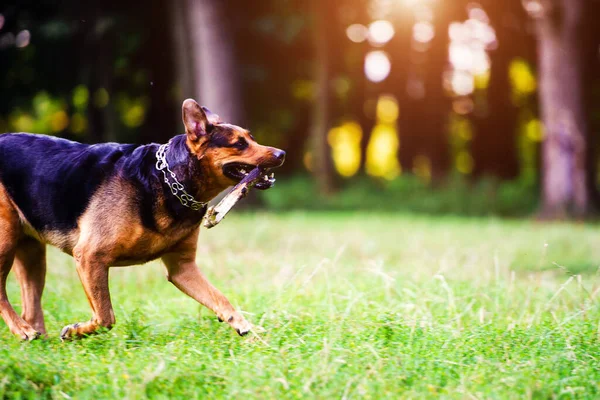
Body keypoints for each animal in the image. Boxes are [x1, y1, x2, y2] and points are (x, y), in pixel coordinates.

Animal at [0, 98, 286, 340]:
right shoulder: (90, 257)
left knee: (31, 308)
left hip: (32, 254)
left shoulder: (182, 268)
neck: (167, 179)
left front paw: (246, 327)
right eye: (239, 143)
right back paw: (22, 330)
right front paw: (75, 331)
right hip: (6, 241)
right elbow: (105, 316)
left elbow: (220, 298)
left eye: (251, 138)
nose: (282, 154)